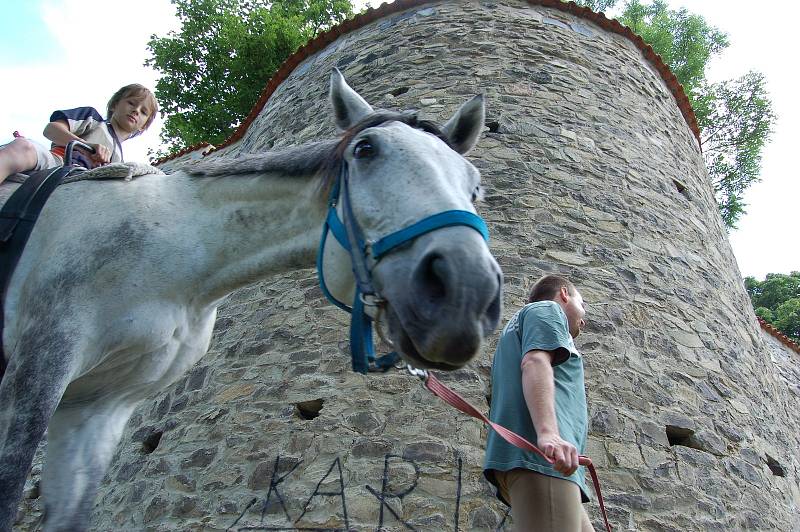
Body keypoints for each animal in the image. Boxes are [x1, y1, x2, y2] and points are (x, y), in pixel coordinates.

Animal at [0, 71, 500, 532]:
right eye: (365, 150)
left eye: (475, 184)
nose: (464, 290)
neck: (174, 251)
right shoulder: (39, 370)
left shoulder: (100, 408)